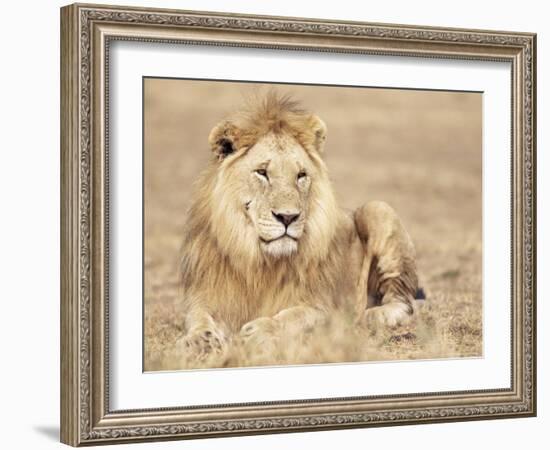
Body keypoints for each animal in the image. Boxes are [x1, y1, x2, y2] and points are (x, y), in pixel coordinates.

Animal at [179, 92, 420, 358]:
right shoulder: (208, 294)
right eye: (262, 172)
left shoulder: (325, 308)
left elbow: (296, 316)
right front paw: (200, 339)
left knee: (403, 301)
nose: (288, 217)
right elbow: (198, 316)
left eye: (301, 175)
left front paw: (262, 329)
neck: (260, 263)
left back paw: (373, 315)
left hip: (378, 209)